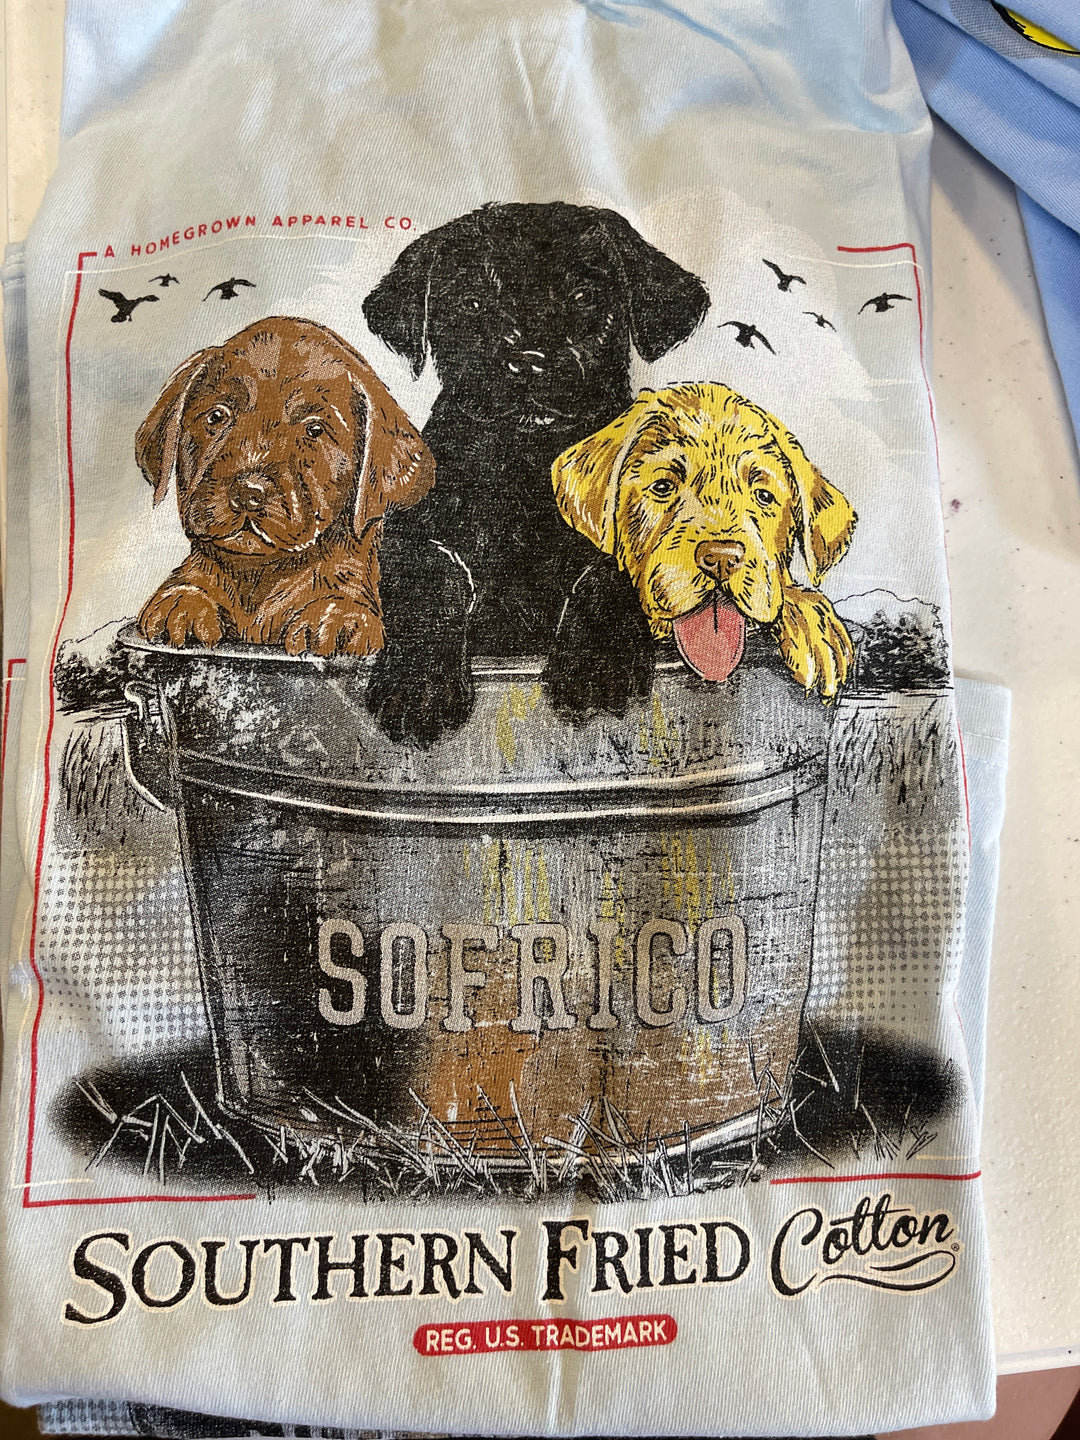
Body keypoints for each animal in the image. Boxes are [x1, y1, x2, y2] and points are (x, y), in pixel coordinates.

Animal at [136, 316, 434, 655]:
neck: (258, 576)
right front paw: (183, 601)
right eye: (216, 416)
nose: (247, 493)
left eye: (314, 429)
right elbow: (195, 577)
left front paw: (336, 614)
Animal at [359, 201, 710, 745]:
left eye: (585, 297)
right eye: (474, 303)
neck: (526, 465)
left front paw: (594, 668)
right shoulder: (406, 535)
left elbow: (609, 574)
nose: (527, 361)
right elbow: (432, 576)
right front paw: (417, 686)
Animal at [543, 382, 857, 718]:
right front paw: (596, 662)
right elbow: (602, 576)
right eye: (662, 487)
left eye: (763, 496)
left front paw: (813, 627)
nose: (722, 558)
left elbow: (783, 588)